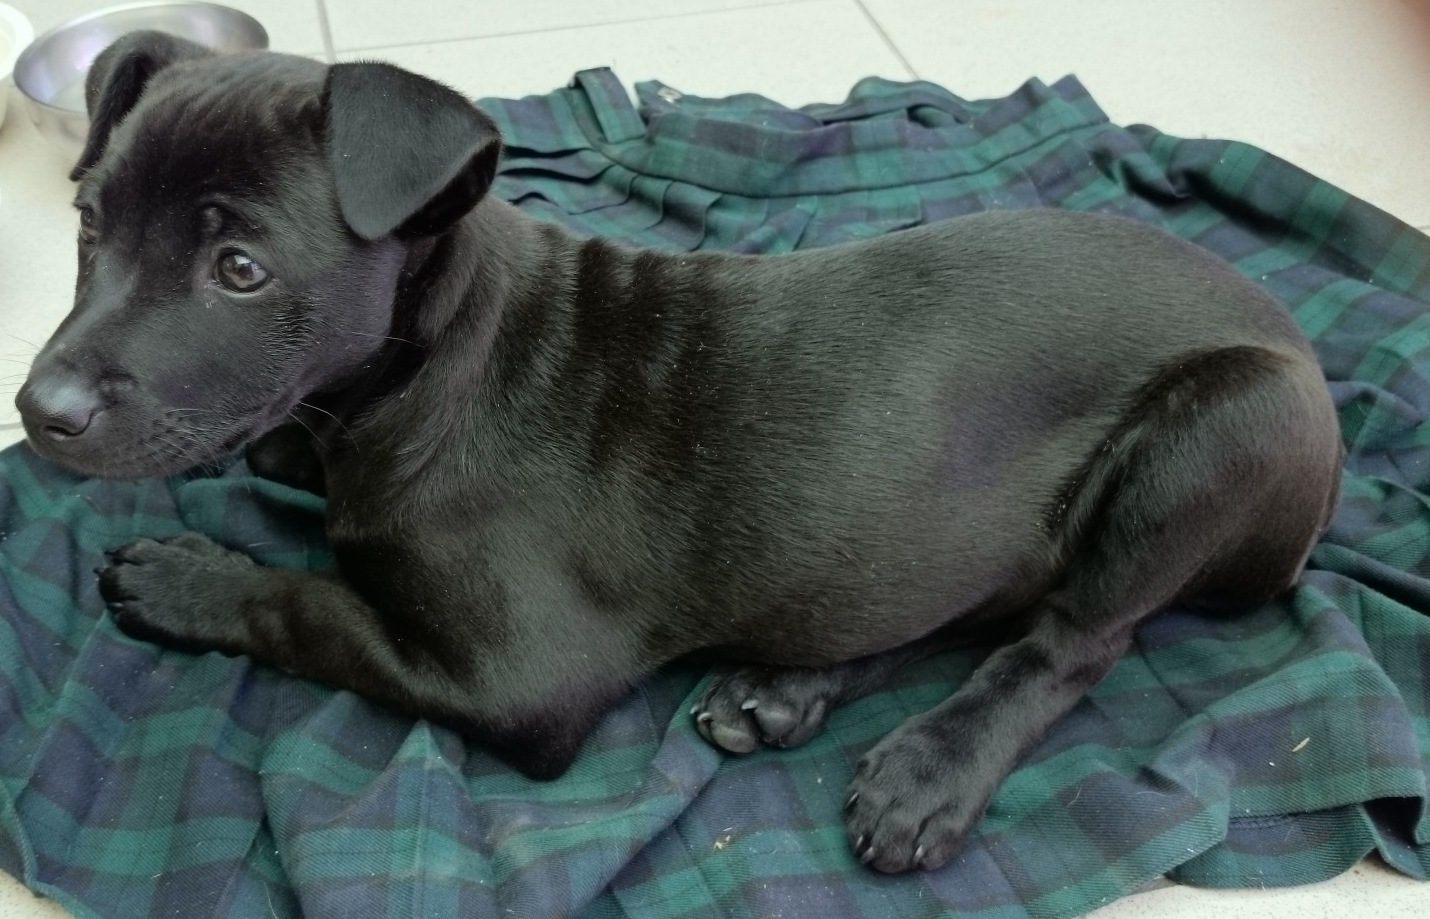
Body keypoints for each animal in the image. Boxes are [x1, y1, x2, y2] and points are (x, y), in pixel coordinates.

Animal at [15, 31, 1344, 874]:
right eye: (86, 227)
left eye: (240, 269)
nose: (39, 406)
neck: (433, 362)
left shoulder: (517, 681)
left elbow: (314, 609)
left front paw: (190, 579)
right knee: (951, 595)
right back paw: (785, 683)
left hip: (1225, 430)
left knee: (1071, 639)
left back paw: (928, 765)